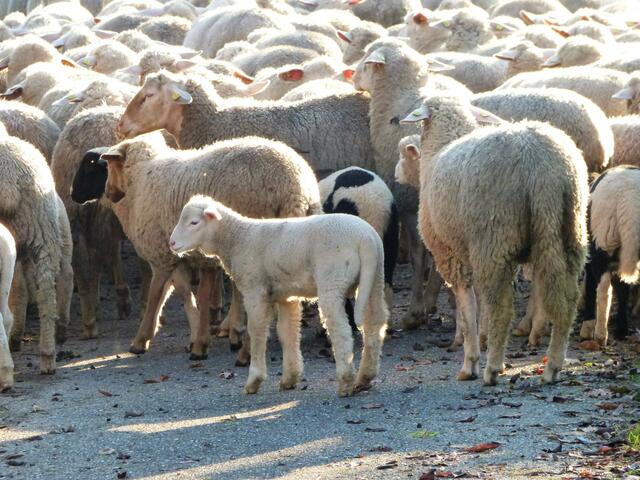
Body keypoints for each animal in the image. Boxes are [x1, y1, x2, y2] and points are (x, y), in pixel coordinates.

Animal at [92, 134, 322, 356]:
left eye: (109, 166)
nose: (108, 192)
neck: (140, 178)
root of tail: (297, 188)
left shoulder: (160, 253)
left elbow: (155, 296)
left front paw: (141, 340)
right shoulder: (175, 255)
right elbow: (175, 293)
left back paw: (246, 350)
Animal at [170, 195, 388, 396]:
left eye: (194, 222)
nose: (171, 243)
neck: (238, 238)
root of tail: (366, 237)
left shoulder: (255, 290)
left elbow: (257, 331)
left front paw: (254, 380)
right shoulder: (286, 295)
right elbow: (287, 332)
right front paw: (290, 378)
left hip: (333, 279)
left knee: (340, 329)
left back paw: (346, 382)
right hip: (375, 277)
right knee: (375, 323)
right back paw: (364, 378)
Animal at [397, 95, 588, 385]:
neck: (440, 148)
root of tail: (539, 164)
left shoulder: (450, 254)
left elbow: (467, 310)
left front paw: (470, 360)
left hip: (494, 237)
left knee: (502, 308)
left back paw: (492, 369)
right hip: (568, 229)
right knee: (567, 300)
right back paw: (553, 366)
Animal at [581, 166, 640, 346]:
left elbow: (591, 286)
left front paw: (587, 326)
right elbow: (623, 290)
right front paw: (622, 329)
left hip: (602, 241)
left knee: (604, 288)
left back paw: (600, 335)